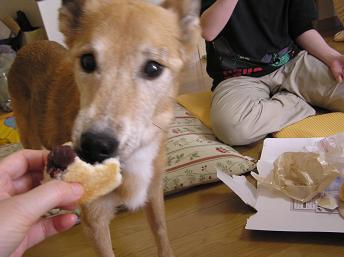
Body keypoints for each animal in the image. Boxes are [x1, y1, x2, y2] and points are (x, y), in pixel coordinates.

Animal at [8, 1, 200, 255]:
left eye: (153, 68)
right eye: (87, 61)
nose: (94, 146)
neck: (132, 158)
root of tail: (28, 47)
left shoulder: (154, 191)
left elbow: (161, 233)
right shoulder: (94, 221)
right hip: (27, 132)